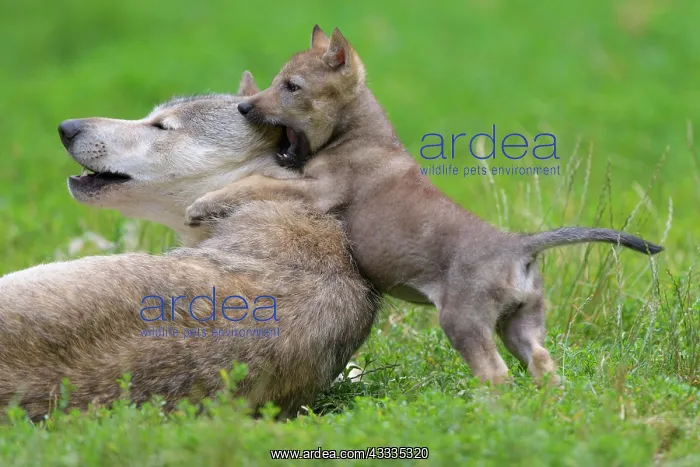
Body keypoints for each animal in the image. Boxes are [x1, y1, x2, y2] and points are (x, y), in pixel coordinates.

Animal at [185, 26, 663, 386]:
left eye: (292, 86)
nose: (245, 107)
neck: (358, 133)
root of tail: (518, 247)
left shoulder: (315, 191)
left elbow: (253, 182)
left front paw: (201, 203)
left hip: (463, 321)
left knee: (496, 375)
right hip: (521, 324)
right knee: (543, 364)